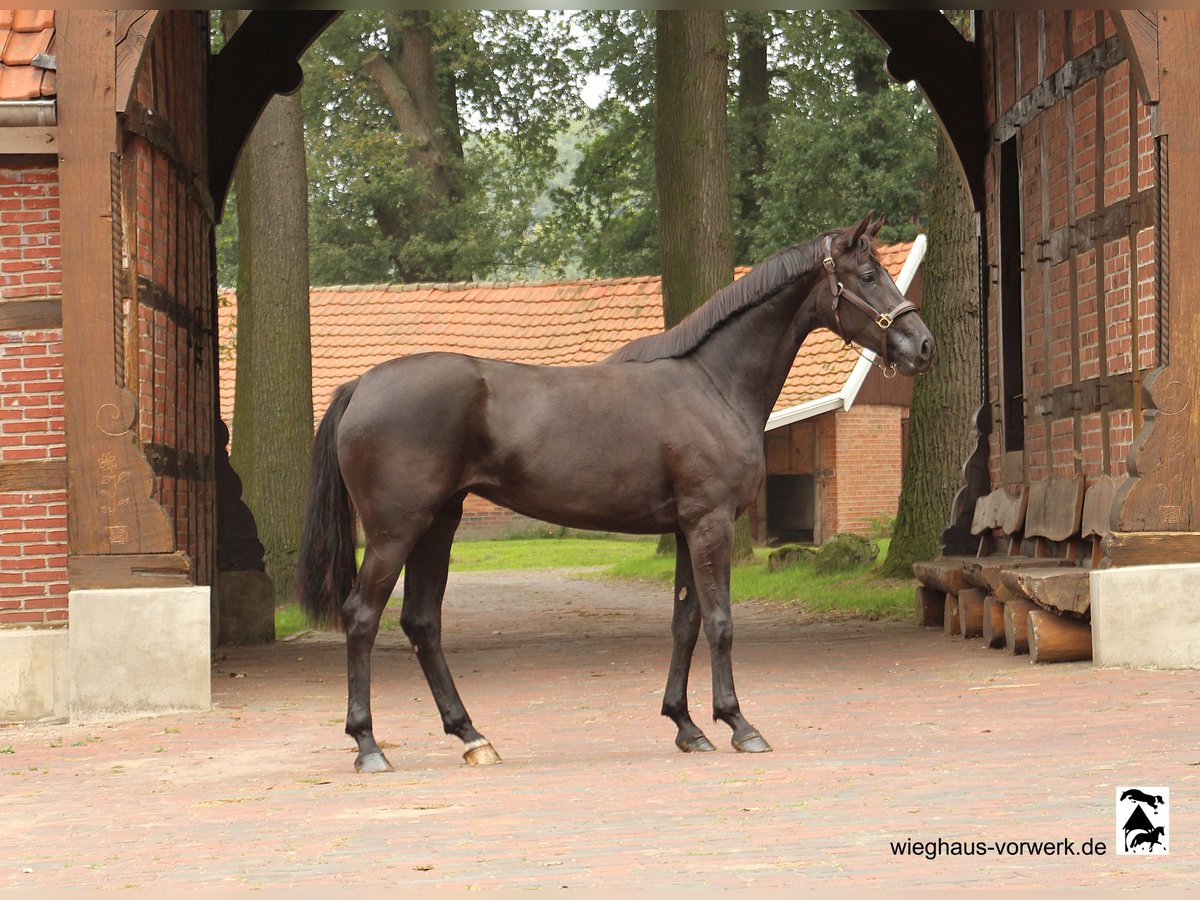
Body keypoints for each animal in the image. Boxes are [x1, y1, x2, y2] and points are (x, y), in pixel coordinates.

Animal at [300, 214, 936, 772]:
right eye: (868, 275)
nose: (922, 345)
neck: (712, 383)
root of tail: (362, 386)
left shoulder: (685, 528)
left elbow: (686, 621)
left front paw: (687, 725)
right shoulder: (710, 523)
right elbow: (720, 620)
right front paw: (739, 724)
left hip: (439, 524)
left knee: (421, 623)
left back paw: (472, 736)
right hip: (397, 530)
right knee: (362, 617)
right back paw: (369, 746)